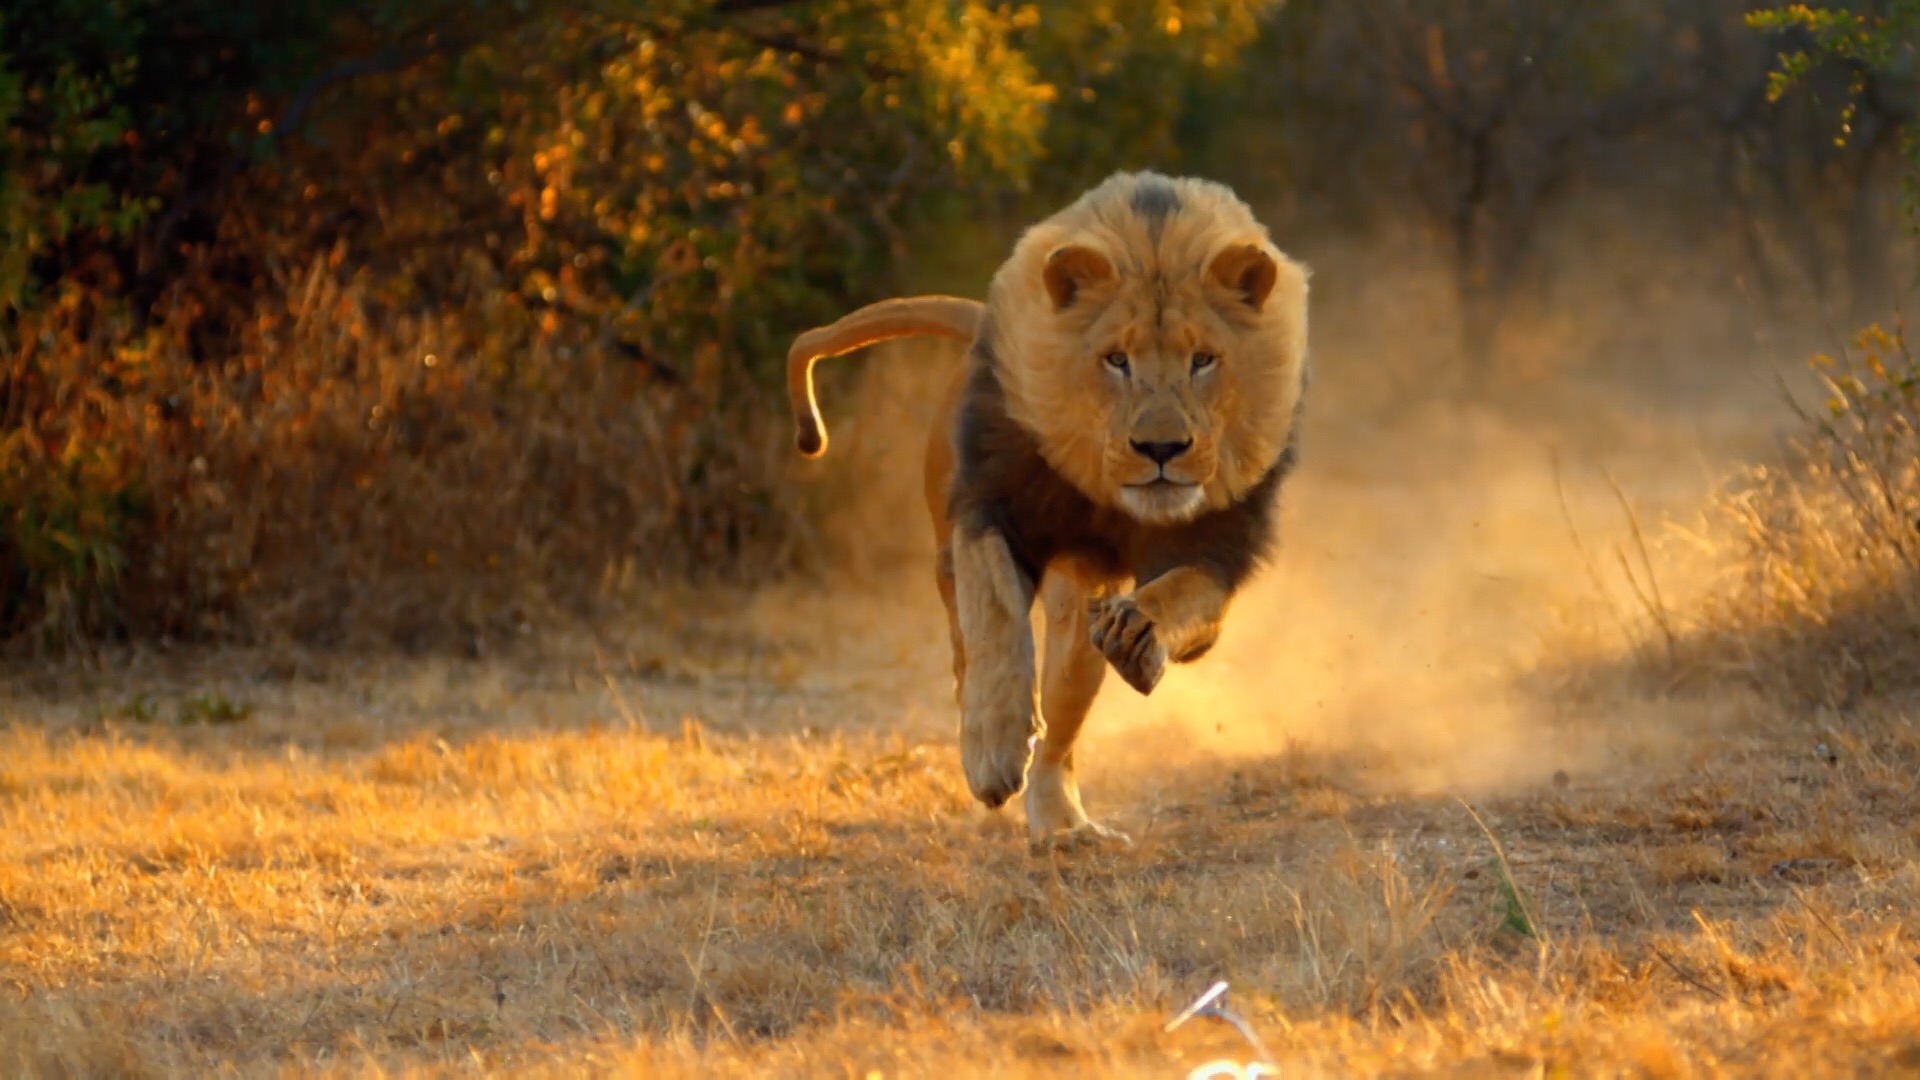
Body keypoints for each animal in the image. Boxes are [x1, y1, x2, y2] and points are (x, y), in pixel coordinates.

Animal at [787, 170, 1313, 841]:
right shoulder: (991, 510)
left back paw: (1065, 826)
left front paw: (1136, 634)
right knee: (962, 640)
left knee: (1063, 729)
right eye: (1116, 359)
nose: (1161, 448)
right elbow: (994, 618)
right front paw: (993, 747)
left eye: (1204, 360)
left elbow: (1179, 594)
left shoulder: (1216, 552)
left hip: (1078, 613)